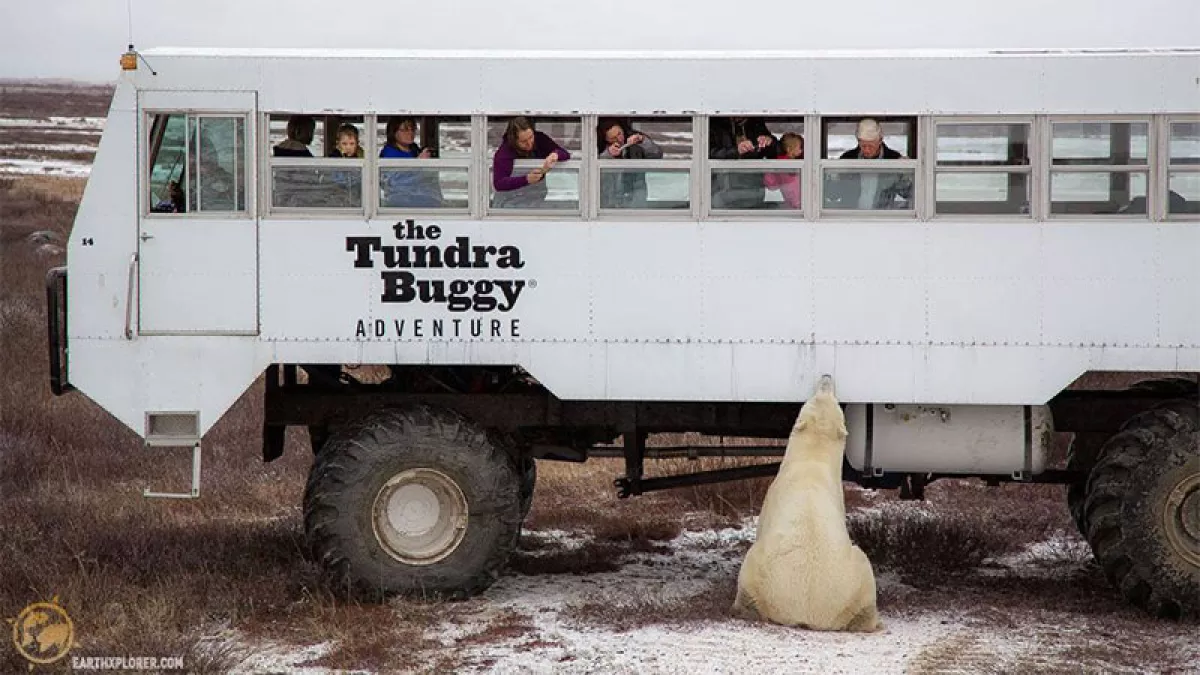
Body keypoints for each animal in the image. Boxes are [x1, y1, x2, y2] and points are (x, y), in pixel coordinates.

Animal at [731, 374, 882, 632]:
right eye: (820, 395)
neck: (813, 459)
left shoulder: (773, 492)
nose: (826, 377)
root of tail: (809, 614)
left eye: (827, 396)